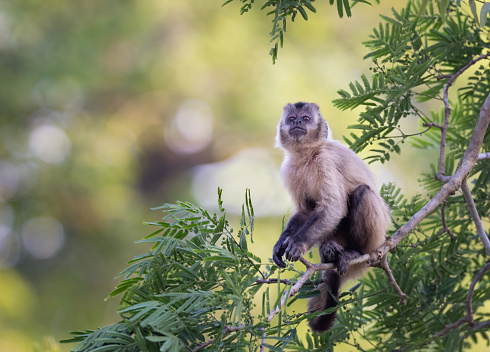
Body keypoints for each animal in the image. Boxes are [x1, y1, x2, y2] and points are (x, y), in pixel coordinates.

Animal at [272, 102, 390, 332]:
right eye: (291, 119)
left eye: (306, 119)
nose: (297, 122)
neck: (307, 156)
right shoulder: (291, 169)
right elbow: (305, 212)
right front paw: (280, 245)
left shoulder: (324, 161)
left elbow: (334, 208)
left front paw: (298, 243)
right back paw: (329, 252)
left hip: (376, 239)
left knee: (362, 193)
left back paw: (354, 252)